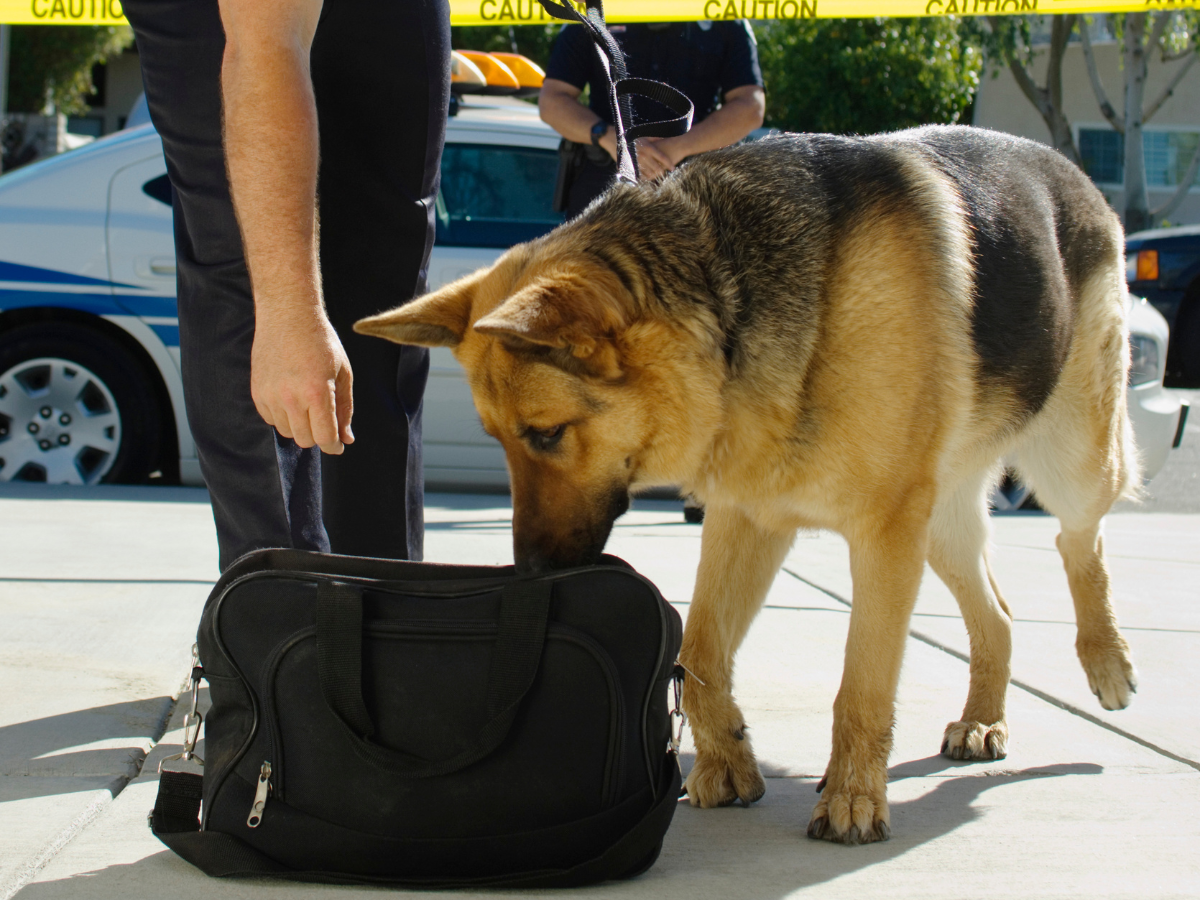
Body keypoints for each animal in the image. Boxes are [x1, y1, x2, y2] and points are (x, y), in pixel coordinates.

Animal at [350, 127, 1137, 844]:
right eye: (499, 439)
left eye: (545, 434)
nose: (532, 573)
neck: (731, 300)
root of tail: (1075, 171)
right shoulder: (751, 516)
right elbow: (699, 650)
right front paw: (727, 761)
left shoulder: (883, 536)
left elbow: (862, 684)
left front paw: (853, 798)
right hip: (939, 524)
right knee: (997, 614)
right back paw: (982, 719)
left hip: (1066, 460)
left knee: (1082, 539)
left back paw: (1106, 659)